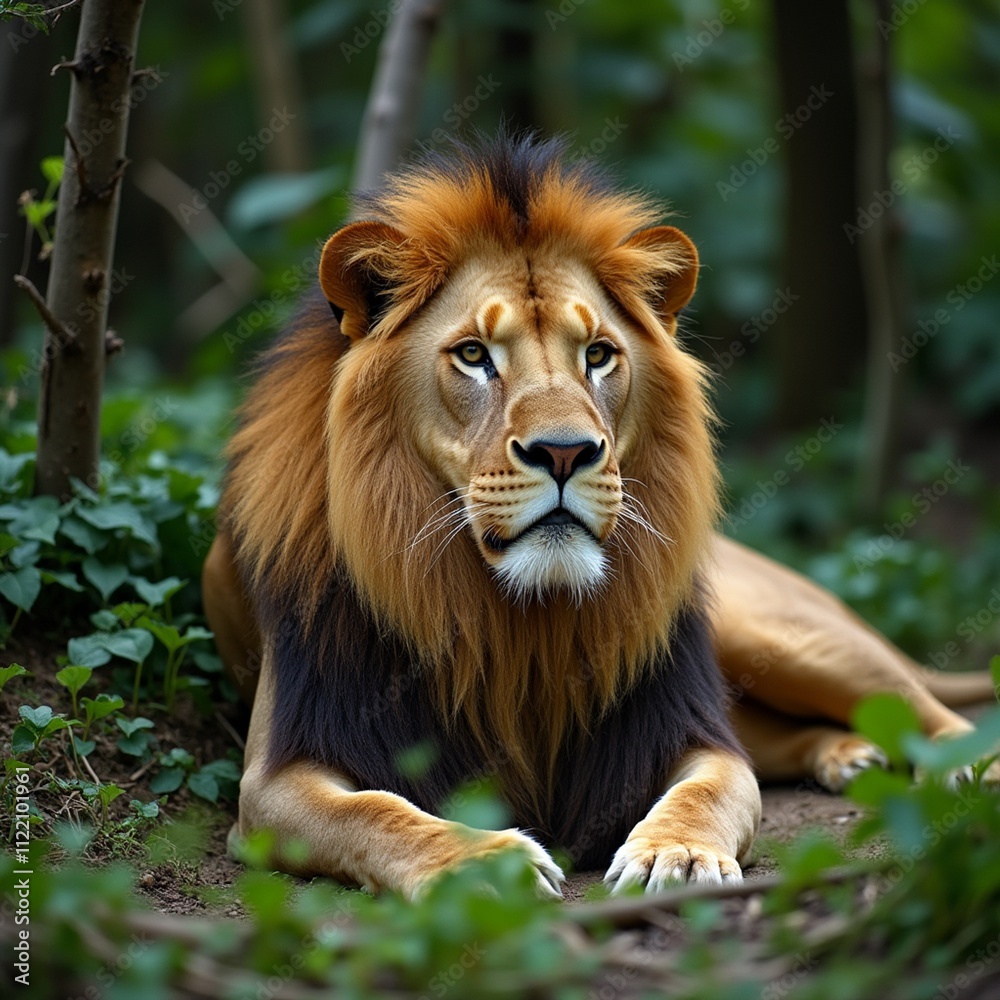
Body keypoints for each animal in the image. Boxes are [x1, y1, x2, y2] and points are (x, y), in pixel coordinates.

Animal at [202, 134, 995, 899]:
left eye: (599, 354)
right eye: (472, 355)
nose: (564, 452)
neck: (521, 622)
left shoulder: (689, 732)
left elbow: (708, 790)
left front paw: (678, 853)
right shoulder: (276, 778)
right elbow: (380, 813)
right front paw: (485, 863)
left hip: (779, 632)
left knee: (928, 706)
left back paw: (962, 765)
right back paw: (853, 755)